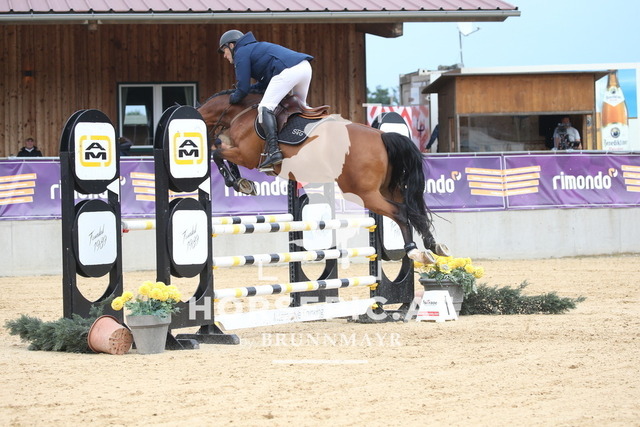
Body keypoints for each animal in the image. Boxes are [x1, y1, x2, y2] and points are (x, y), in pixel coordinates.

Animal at [197, 89, 446, 264]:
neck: (240, 112)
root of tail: (383, 136)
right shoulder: (234, 148)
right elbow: (220, 149)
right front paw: (243, 182)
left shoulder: (245, 154)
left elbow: (216, 152)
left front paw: (238, 182)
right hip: (387, 188)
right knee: (413, 211)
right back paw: (433, 246)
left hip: (363, 193)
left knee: (400, 212)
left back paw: (415, 252)